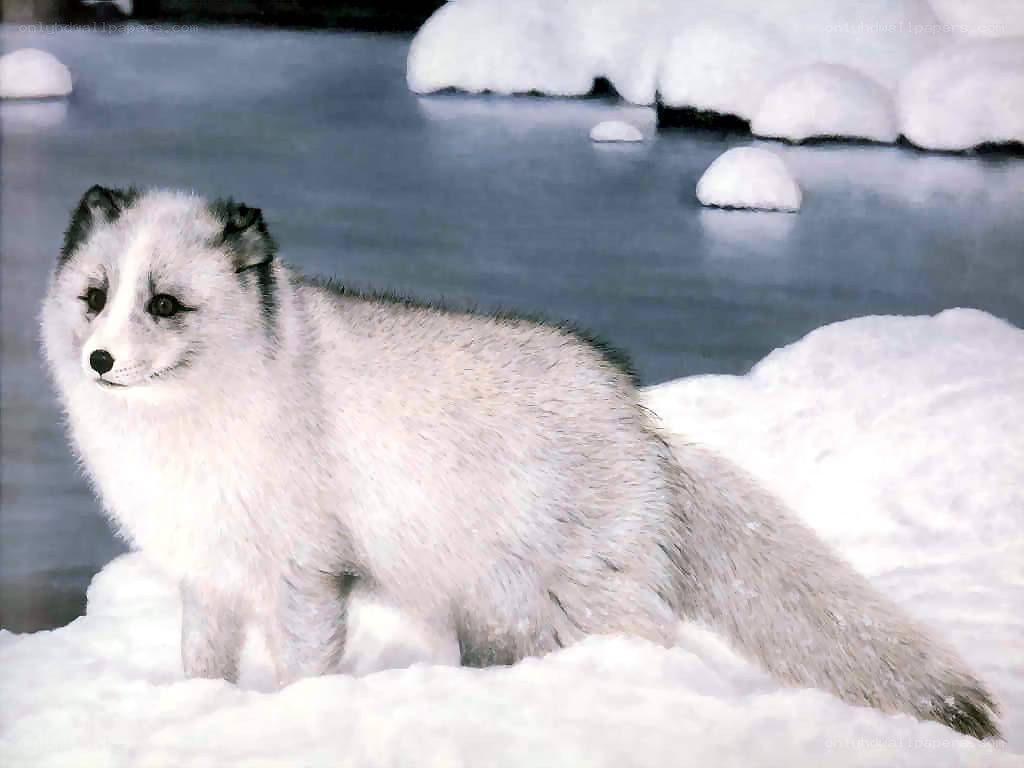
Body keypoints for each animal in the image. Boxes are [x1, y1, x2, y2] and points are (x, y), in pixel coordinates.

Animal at [41, 185, 1000, 739]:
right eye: (96, 297)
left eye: (166, 305)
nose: (99, 360)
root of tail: (641, 424)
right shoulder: (208, 573)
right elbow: (200, 663)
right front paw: (194, 711)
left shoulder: (305, 573)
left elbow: (304, 669)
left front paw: (294, 722)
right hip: (494, 612)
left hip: (563, 609)